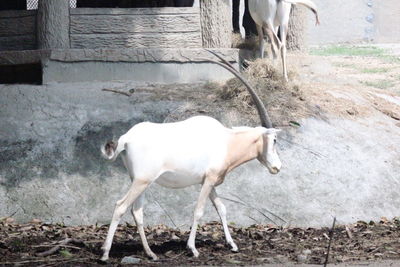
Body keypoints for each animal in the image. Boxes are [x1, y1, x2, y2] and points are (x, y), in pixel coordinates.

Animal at [99, 54, 282, 262]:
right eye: (274, 140)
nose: (277, 167)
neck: (227, 141)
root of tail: (126, 138)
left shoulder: (208, 181)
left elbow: (222, 208)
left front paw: (232, 245)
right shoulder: (209, 180)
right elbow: (198, 211)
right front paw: (192, 248)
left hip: (139, 181)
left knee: (137, 212)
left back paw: (150, 253)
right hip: (142, 181)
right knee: (120, 206)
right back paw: (105, 253)